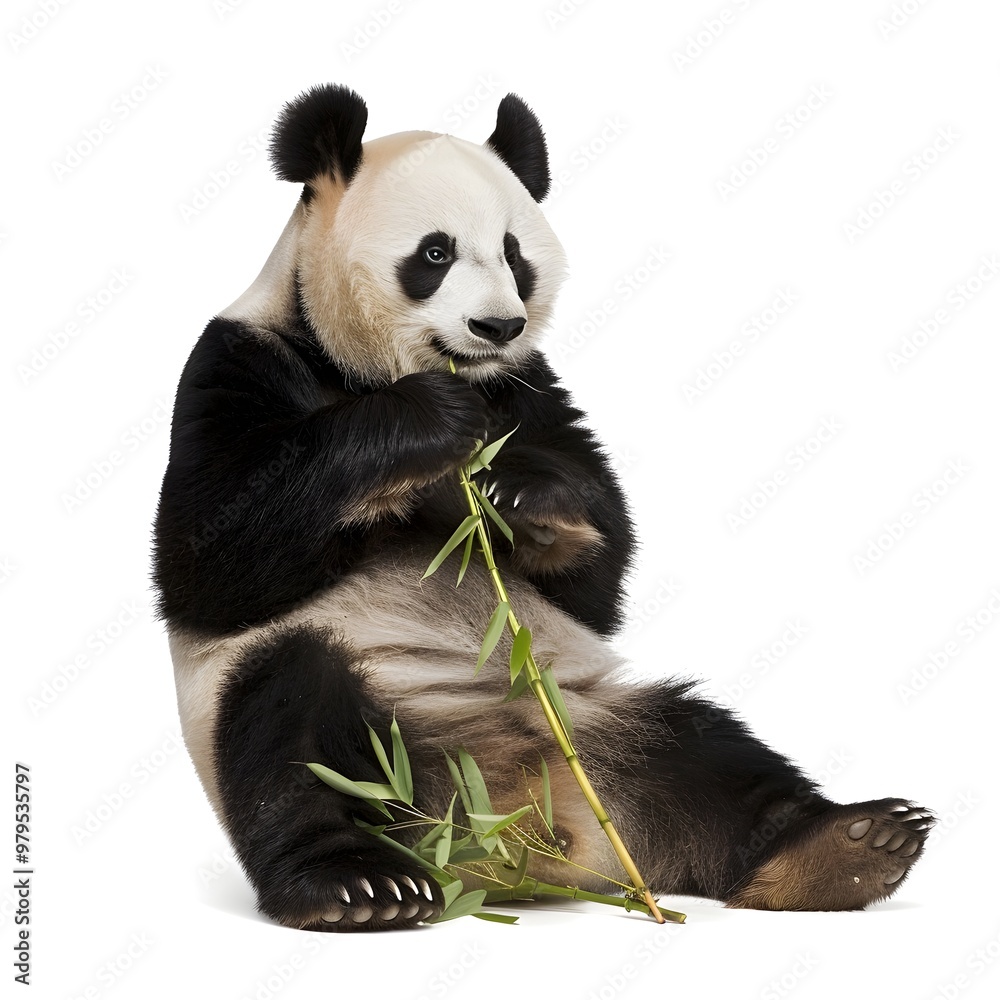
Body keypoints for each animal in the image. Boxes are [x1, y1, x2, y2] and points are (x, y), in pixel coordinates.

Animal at [153, 84, 934, 932]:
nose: (497, 326)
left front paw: (521, 499)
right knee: (291, 721)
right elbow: (210, 556)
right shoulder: (237, 362)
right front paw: (428, 421)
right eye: (434, 254)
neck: (355, 366)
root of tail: (512, 836)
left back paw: (847, 847)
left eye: (514, 254)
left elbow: (596, 581)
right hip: (349, 723)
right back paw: (358, 886)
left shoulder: (527, 389)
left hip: (597, 721)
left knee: (707, 745)